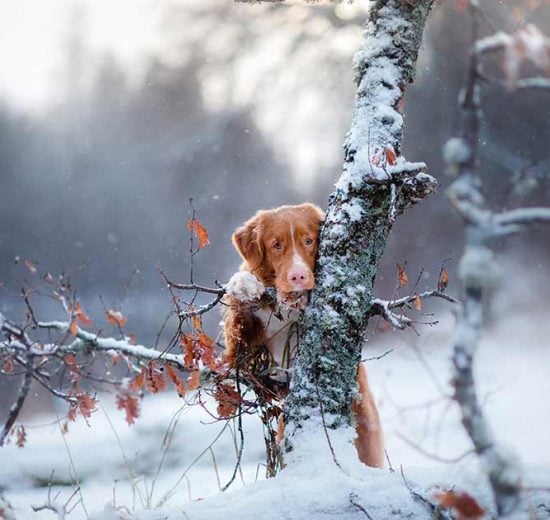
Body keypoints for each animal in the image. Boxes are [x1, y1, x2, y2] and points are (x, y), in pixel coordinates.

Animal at [223, 202, 384, 468]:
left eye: (309, 241)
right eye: (276, 245)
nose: (297, 276)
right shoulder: (249, 352)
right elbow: (238, 339)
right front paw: (244, 285)